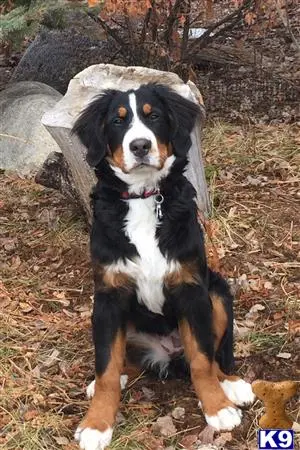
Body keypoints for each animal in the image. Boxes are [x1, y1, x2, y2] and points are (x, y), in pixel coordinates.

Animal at [71, 84, 254, 450]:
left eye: (153, 115)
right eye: (117, 121)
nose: (140, 146)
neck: (144, 198)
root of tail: (167, 352)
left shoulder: (191, 289)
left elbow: (202, 359)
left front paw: (217, 407)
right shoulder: (109, 297)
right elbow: (106, 366)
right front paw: (96, 424)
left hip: (216, 291)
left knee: (214, 353)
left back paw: (232, 384)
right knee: (120, 359)